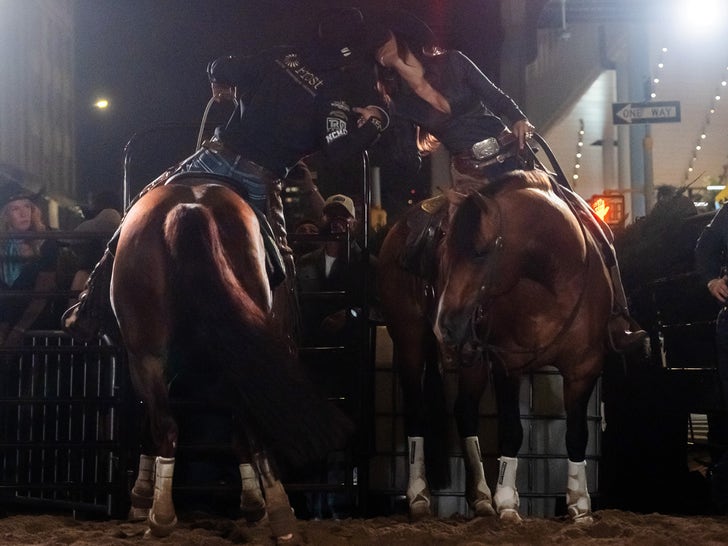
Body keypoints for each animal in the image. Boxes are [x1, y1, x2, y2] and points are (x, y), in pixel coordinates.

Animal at [111, 174, 352, 536]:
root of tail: (191, 207)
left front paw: (140, 498)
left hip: (146, 355)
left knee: (165, 424)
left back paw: (162, 516)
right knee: (243, 423)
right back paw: (277, 513)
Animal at [378, 168, 612, 520]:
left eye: (479, 252)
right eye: (444, 252)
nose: (444, 324)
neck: (552, 284)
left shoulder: (584, 368)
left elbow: (576, 434)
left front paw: (579, 505)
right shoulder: (508, 364)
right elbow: (512, 430)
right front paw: (507, 502)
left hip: (471, 357)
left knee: (465, 411)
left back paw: (480, 498)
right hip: (409, 342)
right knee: (416, 411)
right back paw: (419, 496)